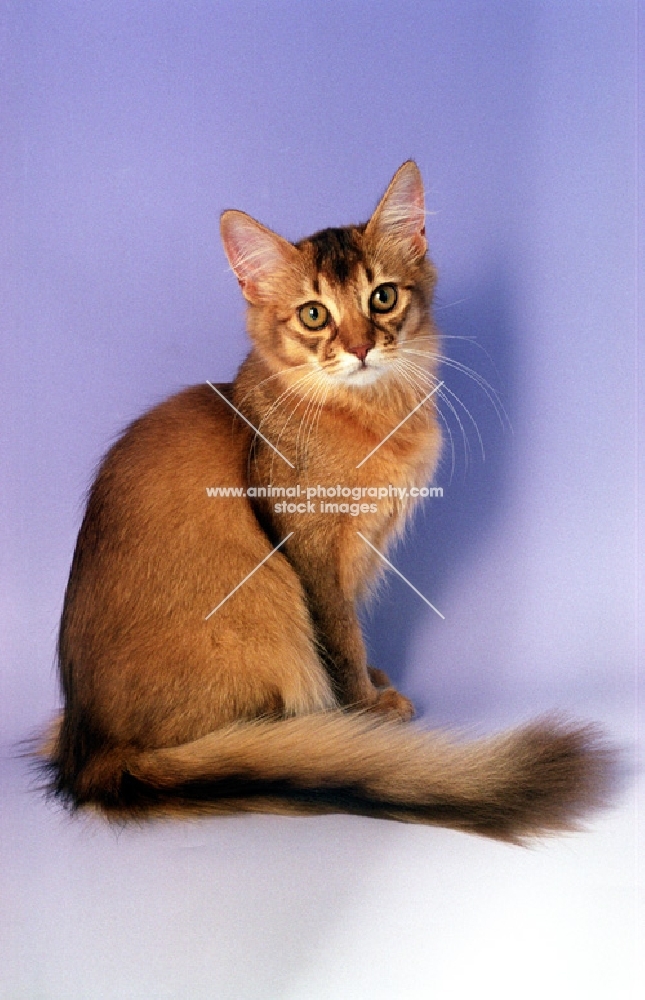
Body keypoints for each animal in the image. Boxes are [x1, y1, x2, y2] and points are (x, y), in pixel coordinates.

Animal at [42, 162, 612, 836]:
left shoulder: (363, 550)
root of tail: (92, 756)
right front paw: (364, 708)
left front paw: (370, 688)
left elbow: (353, 632)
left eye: (383, 298)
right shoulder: (313, 553)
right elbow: (340, 637)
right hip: (266, 606)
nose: (362, 347)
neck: (373, 416)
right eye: (314, 315)